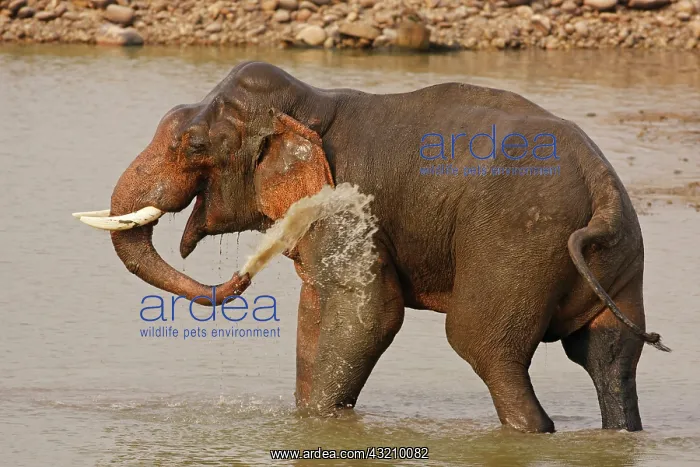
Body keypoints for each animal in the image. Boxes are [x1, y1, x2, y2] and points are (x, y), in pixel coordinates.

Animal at [75, 60, 670, 433]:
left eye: (193, 146)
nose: (240, 279)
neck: (311, 104)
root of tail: (601, 183)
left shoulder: (346, 200)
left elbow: (370, 312)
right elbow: (316, 310)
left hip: (518, 242)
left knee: (482, 344)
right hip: (619, 259)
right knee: (607, 355)